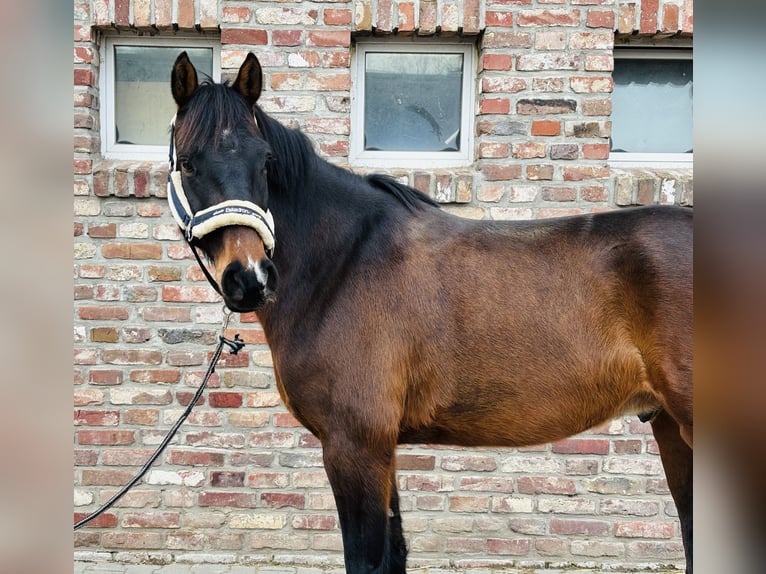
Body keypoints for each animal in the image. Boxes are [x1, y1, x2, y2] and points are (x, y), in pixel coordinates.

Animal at [167, 51, 693, 574]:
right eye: (188, 162)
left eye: (266, 161)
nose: (250, 277)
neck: (344, 261)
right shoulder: (381, 449)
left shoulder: (355, 446)